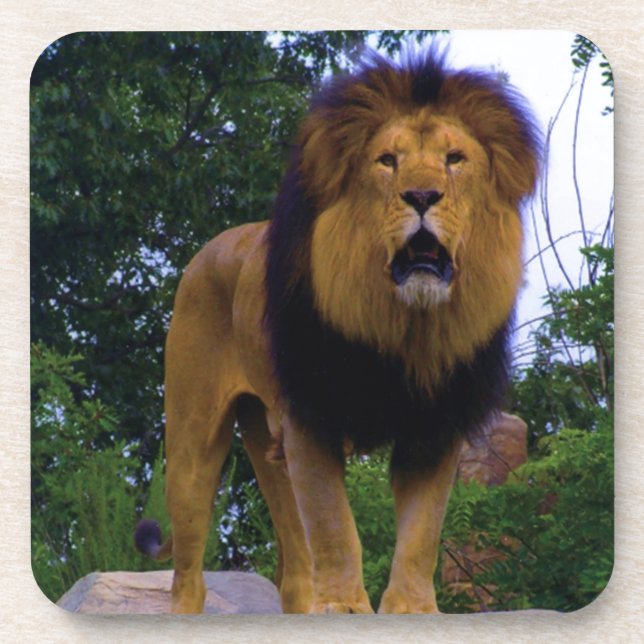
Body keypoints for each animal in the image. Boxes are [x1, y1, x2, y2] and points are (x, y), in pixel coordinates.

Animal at [135, 47, 540, 614]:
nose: (422, 195)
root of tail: (208, 250)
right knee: (189, 575)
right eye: (387, 161)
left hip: (268, 443)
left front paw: (412, 609)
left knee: (294, 571)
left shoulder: (435, 428)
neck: (406, 324)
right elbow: (335, 527)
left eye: (454, 159)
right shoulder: (313, 420)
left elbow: (421, 533)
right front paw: (346, 608)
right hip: (194, 441)